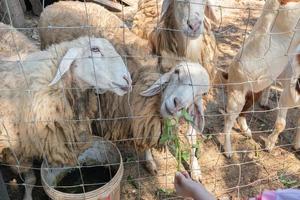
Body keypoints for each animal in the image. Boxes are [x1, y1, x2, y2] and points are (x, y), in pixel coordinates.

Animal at [37, 0, 210, 181]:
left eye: (201, 93)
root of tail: (54, 5)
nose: (177, 104)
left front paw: (195, 170)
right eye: (177, 72)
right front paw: (150, 162)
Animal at [220, 0, 300, 158]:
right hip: (237, 96)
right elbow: (281, 124)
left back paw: (247, 130)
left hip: (255, 91)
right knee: (228, 120)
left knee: (243, 113)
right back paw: (228, 150)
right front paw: (269, 145)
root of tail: (230, 72)